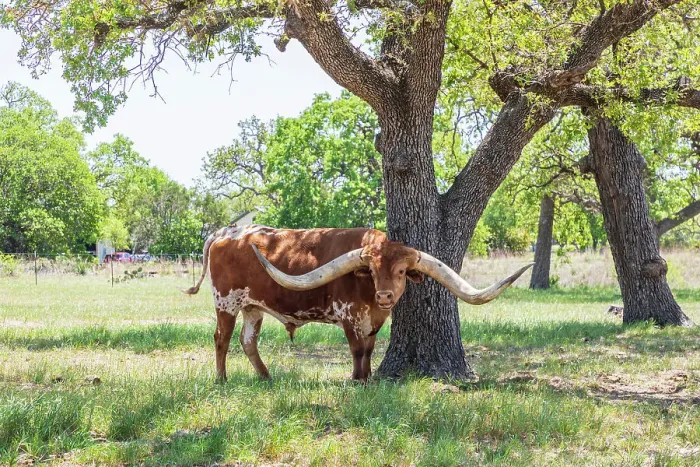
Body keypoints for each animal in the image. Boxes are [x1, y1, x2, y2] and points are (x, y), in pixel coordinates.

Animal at [184, 224, 533, 382]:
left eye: (402, 271)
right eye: (373, 271)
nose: (385, 296)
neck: (369, 296)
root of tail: (224, 233)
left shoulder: (375, 321)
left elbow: (369, 349)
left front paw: (366, 377)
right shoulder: (348, 316)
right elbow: (355, 349)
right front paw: (356, 379)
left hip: (252, 307)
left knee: (248, 340)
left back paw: (266, 377)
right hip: (226, 302)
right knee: (221, 339)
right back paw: (222, 379)